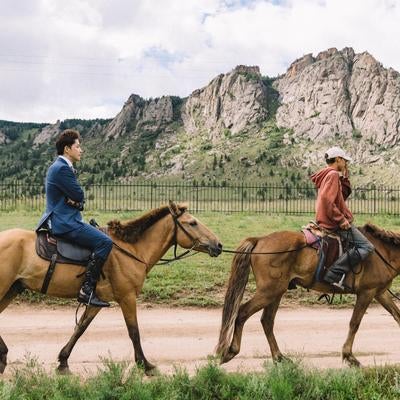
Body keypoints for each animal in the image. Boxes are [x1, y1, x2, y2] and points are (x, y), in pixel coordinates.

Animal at [0, 203, 222, 376]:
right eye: (192, 223)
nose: (218, 245)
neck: (132, 250)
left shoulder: (96, 302)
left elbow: (80, 328)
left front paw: (63, 361)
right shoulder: (127, 298)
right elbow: (134, 332)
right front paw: (145, 365)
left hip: (12, 290)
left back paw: (3, 356)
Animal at [217, 223, 400, 368]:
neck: (384, 252)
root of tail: (260, 239)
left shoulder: (380, 292)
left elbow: (397, 315)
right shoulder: (366, 293)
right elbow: (354, 323)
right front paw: (349, 356)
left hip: (276, 292)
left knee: (267, 321)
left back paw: (279, 357)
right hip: (269, 292)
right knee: (242, 313)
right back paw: (231, 351)